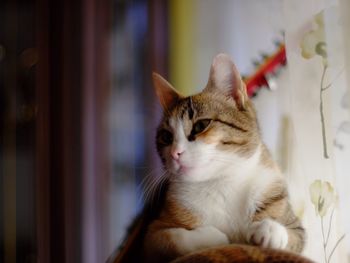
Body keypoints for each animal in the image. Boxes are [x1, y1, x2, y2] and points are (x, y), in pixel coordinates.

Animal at [138, 54, 304, 263]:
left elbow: (294, 235)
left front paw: (269, 229)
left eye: (201, 126)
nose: (175, 153)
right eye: (166, 137)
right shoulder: (151, 237)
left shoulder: (295, 224)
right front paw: (215, 237)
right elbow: (174, 237)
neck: (221, 182)